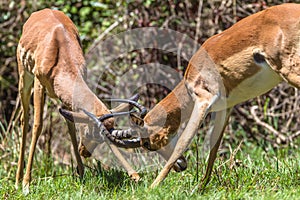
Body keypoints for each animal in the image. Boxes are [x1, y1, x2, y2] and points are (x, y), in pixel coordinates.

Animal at [15, 8, 147, 195]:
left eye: (101, 138)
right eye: (89, 132)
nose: (86, 152)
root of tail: (39, 12)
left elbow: (71, 126)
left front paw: (134, 175)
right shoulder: (39, 84)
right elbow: (37, 125)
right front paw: (27, 185)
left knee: (67, 123)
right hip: (24, 77)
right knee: (24, 119)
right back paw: (18, 180)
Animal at [95, 3, 300, 189]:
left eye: (146, 143)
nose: (181, 166)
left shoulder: (203, 100)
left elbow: (183, 141)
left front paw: (153, 187)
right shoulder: (226, 107)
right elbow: (214, 146)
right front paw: (201, 187)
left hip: (290, 72)